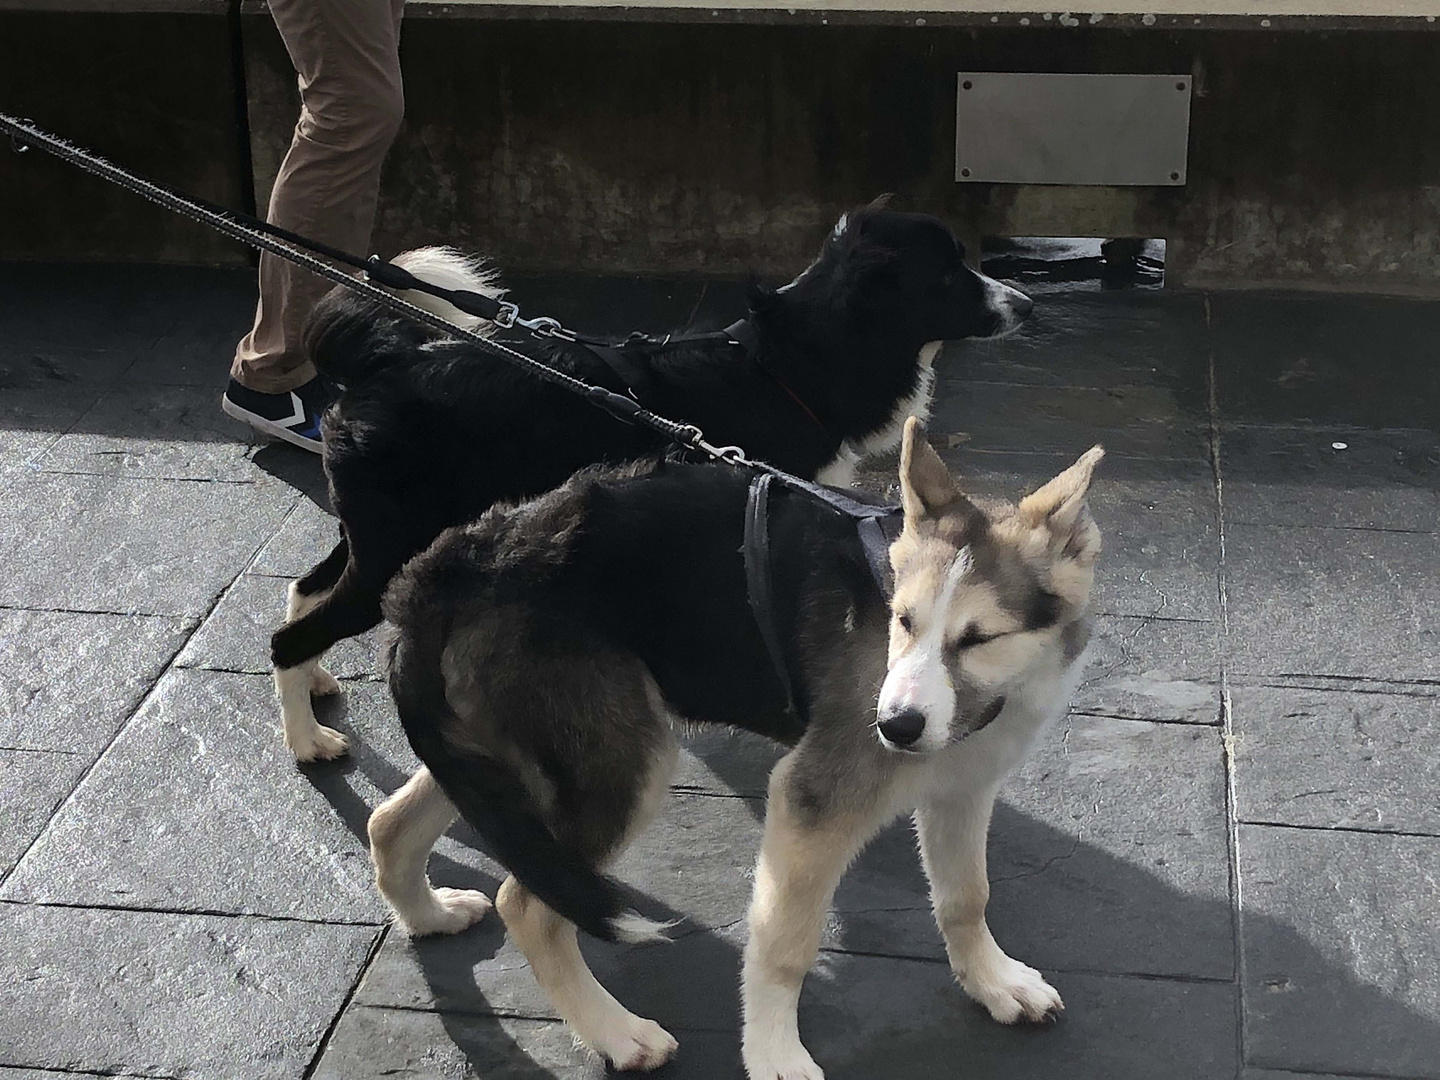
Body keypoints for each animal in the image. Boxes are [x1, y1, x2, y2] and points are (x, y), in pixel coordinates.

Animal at [368, 423, 1100, 1080]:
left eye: (978, 639)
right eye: (903, 621)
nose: (892, 727)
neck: (994, 697)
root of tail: (449, 564)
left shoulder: (964, 785)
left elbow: (965, 895)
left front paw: (994, 981)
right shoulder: (811, 799)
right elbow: (784, 944)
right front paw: (774, 1055)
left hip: (494, 756)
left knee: (391, 822)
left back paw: (429, 915)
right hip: (621, 761)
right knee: (527, 904)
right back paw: (616, 1033)